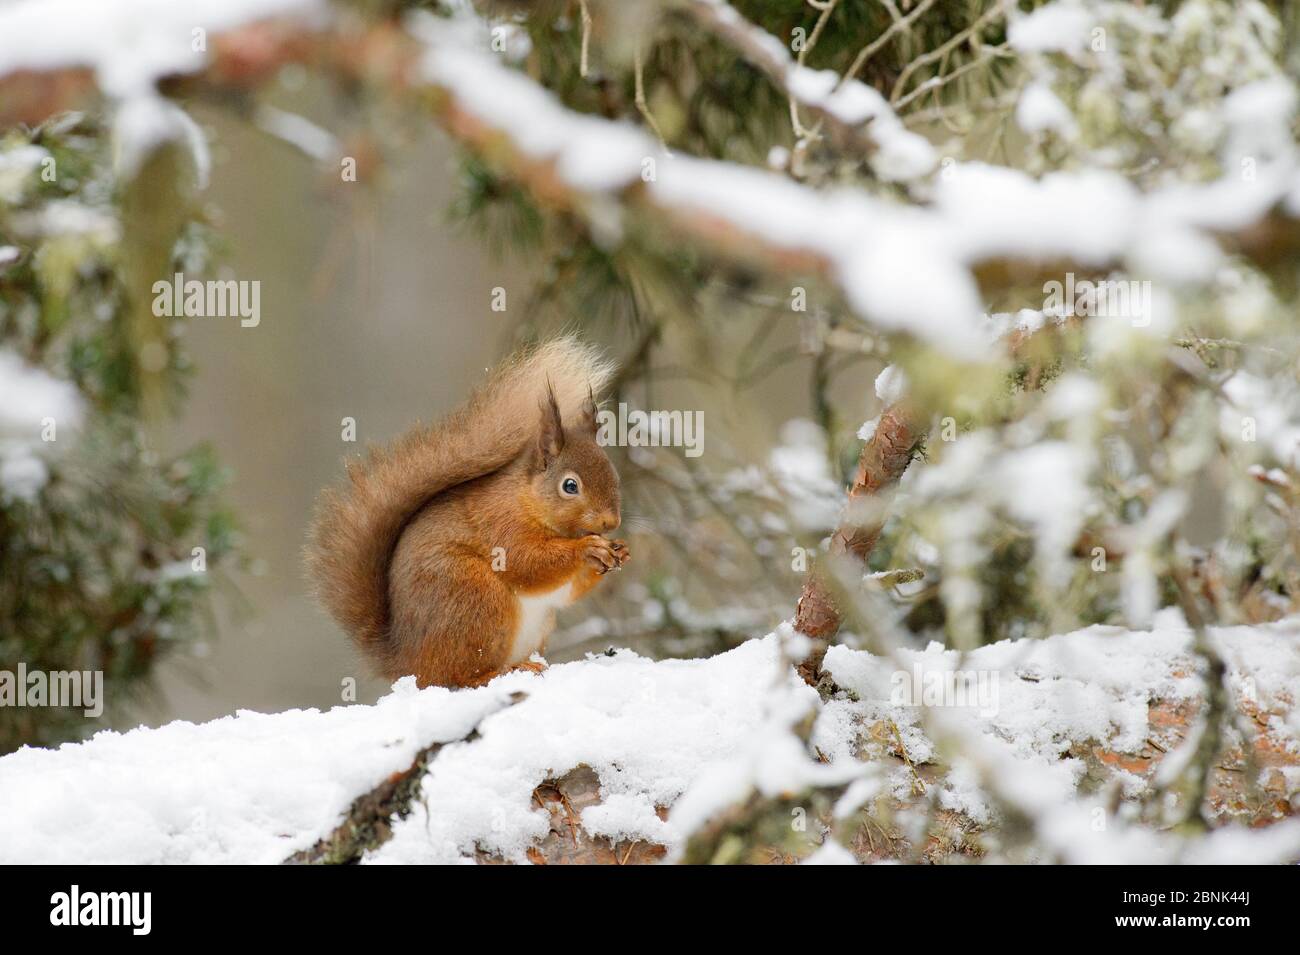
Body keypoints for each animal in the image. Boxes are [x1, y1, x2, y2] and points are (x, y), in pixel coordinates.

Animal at [305, 340, 629, 691]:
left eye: (615, 475)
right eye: (570, 486)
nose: (610, 523)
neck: (526, 499)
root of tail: (406, 662)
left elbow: (567, 591)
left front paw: (618, 551)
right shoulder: (500, 524)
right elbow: (528, 562)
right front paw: (586, 549)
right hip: (474, 597)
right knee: (456, 676)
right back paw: (503, 671)